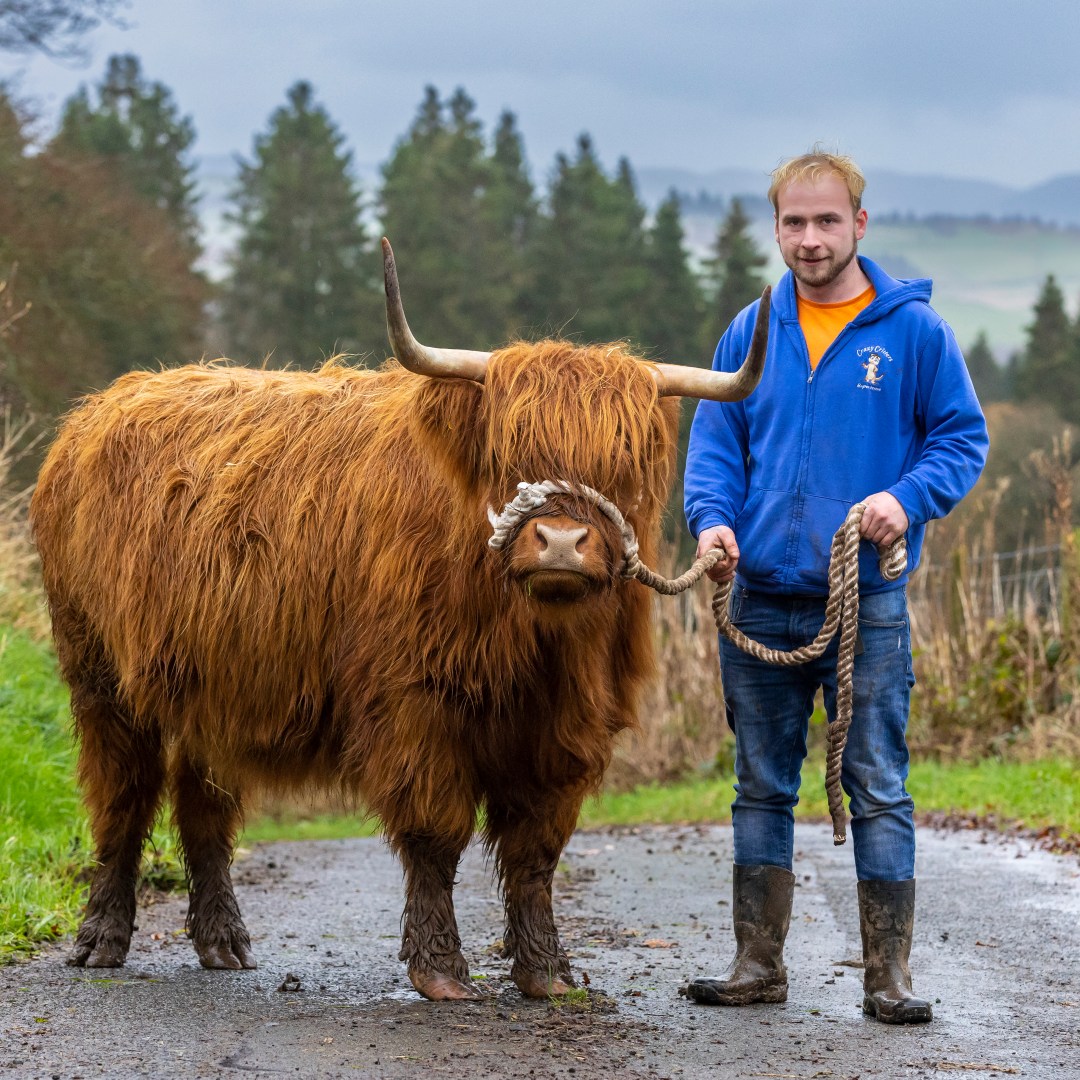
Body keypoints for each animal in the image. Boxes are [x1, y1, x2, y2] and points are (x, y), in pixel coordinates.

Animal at [30, 239, 769, 1001]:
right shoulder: (416, 706)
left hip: (211, 686)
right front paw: (440, 970)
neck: (537, 644)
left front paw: (546, 971)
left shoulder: (569, 727)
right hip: (99, 677)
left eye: (620, 462)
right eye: (506, 455)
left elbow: (535, 853)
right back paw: (101, 940)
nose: (562, 542)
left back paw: (223, 942)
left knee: (202, 803)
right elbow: (436, 836)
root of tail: (98, 411)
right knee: (121, 797)